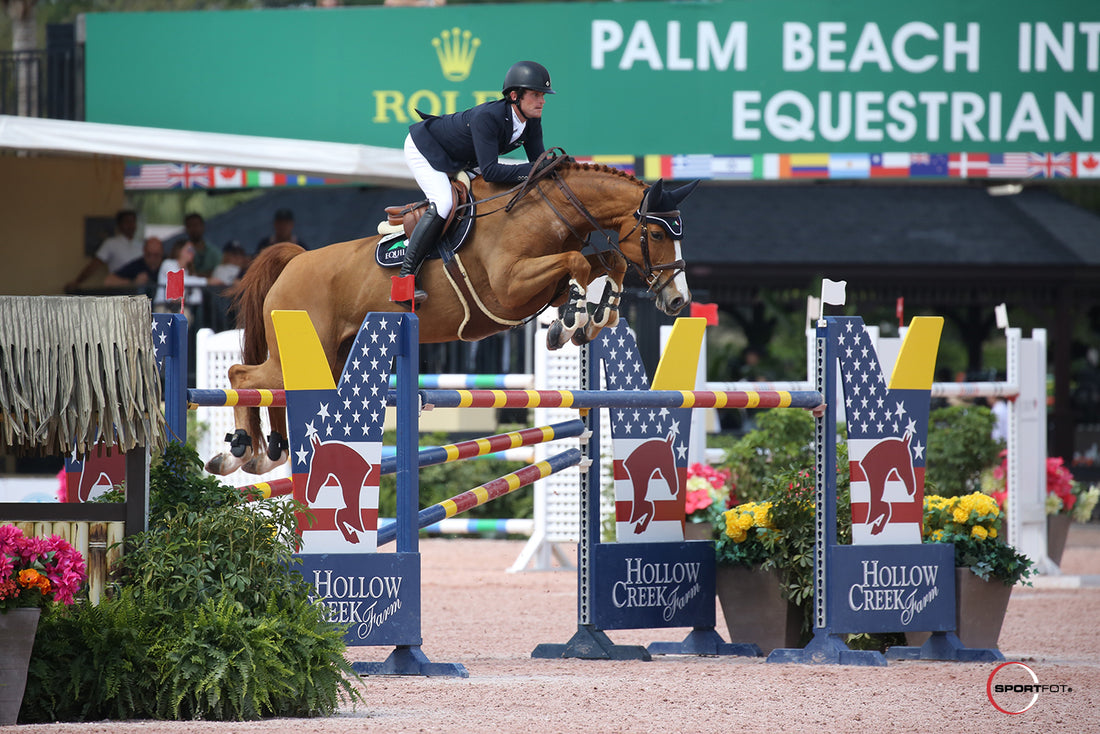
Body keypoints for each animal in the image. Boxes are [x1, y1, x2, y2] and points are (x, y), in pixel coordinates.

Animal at [207, 160, 695, 477]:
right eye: (655, 233)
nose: (678, 301)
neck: (543, 212)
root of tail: (294, 261)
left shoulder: (540, 284)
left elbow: (605, 261)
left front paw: (589, 319)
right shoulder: (510, 287)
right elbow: (578, 261)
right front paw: (572, 320)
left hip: (330, 357)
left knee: (274, 391)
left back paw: (270, 451)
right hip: (307, 349)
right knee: (242, 376)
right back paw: (238, 451)